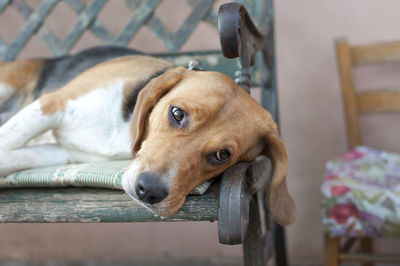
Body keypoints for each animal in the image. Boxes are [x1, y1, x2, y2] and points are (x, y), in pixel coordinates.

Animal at [0, 46, 294, 224]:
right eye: (177, 114)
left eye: (222, 155)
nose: (148, 191)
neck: (122, 130)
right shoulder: (52, 104)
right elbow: (8, 139)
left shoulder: (64, 154)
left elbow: (13, 157)